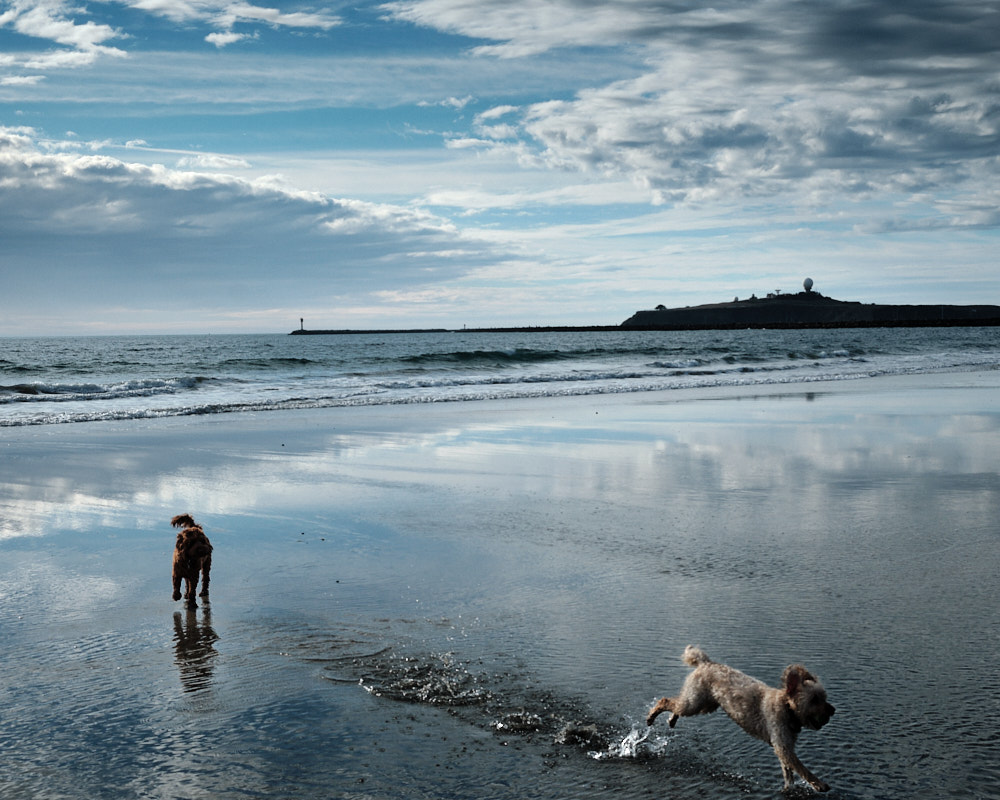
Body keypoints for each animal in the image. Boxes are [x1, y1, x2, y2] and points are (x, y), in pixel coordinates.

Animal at [644, 648, 832, 792]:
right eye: (814, 699)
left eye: (823, 696)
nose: (833, 710)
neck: (787, 709)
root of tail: (705, 662)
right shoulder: (783, 746)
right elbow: (801, 768)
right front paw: (819, 784)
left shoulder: (784, 747)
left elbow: (788, 772)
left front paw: (789, 787)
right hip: (695, 703)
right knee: (666, 701)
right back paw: (651, 717)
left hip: (704, 705)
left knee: (676, 705)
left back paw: (671, 720)